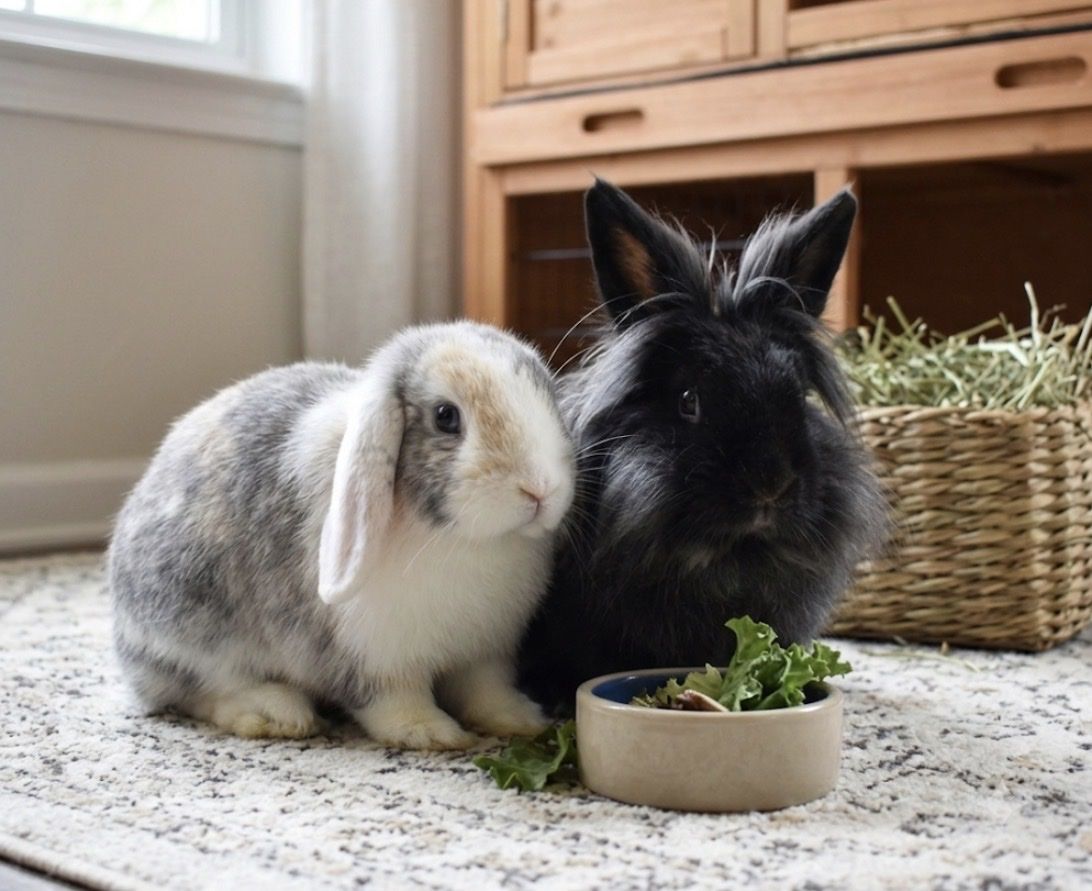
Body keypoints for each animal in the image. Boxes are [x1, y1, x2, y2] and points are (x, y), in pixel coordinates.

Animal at [109, 321, 575, 749]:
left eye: (547, 395)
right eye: (446, 417)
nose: (540, 490)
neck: (468, 540)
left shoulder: (485, 652)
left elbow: (485, 692)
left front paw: (521, 720)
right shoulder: (373, 657)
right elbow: (392, 701)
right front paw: (431, 733)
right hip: (190, 628)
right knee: (199, 690)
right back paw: (276, 713)